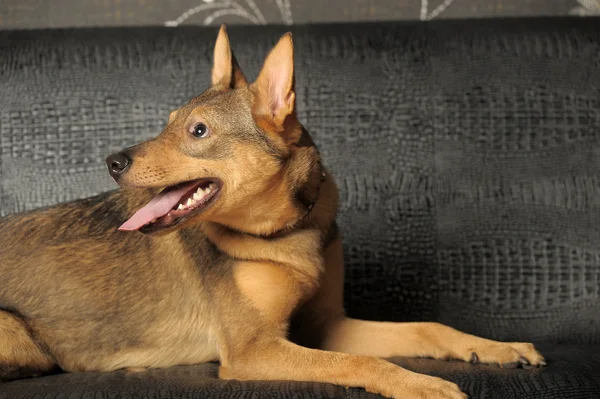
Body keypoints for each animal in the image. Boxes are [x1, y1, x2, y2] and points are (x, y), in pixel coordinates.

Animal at [0, 26, 548, 398]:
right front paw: (423, 385)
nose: (112, 162)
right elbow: (355, 363)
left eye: (197, 131)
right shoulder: (254, 349)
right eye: (167, 123)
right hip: (24, 340)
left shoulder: (326, 324)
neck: (284, 235)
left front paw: (498, 348)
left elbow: (426, 328)